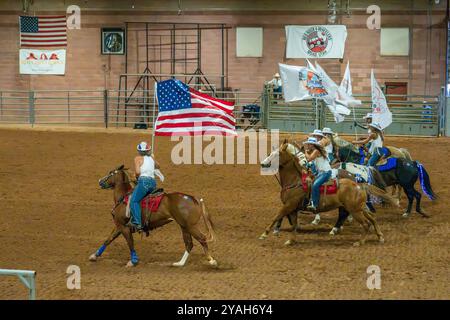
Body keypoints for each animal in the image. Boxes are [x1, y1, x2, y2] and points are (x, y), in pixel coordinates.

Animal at [88, 165, 218, 268]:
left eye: (111, 173)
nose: (100, 181)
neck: (123, 197)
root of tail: (193, 198)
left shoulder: (124, 227)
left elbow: (130, 243)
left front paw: (133, 261)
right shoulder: (119, 225)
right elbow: (108, 239)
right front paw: (94, 256)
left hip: (190, 226)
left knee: (202, 238)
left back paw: (211, 261)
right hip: (184, 226)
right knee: (189, 244)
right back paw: (179, 263)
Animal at [258, 139, 400, 246]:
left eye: (276, 155)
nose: (263, 164)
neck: (295, 181)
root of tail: (359, 183)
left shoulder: (289, 205)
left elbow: (277, 216)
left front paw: (265, 234)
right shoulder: (292, 209)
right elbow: (293, 224)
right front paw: (290, 240)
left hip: (355, 210)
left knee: (364, 223)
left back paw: (358, 241)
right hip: (359, 208)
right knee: (371, 218)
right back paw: (379, 236)